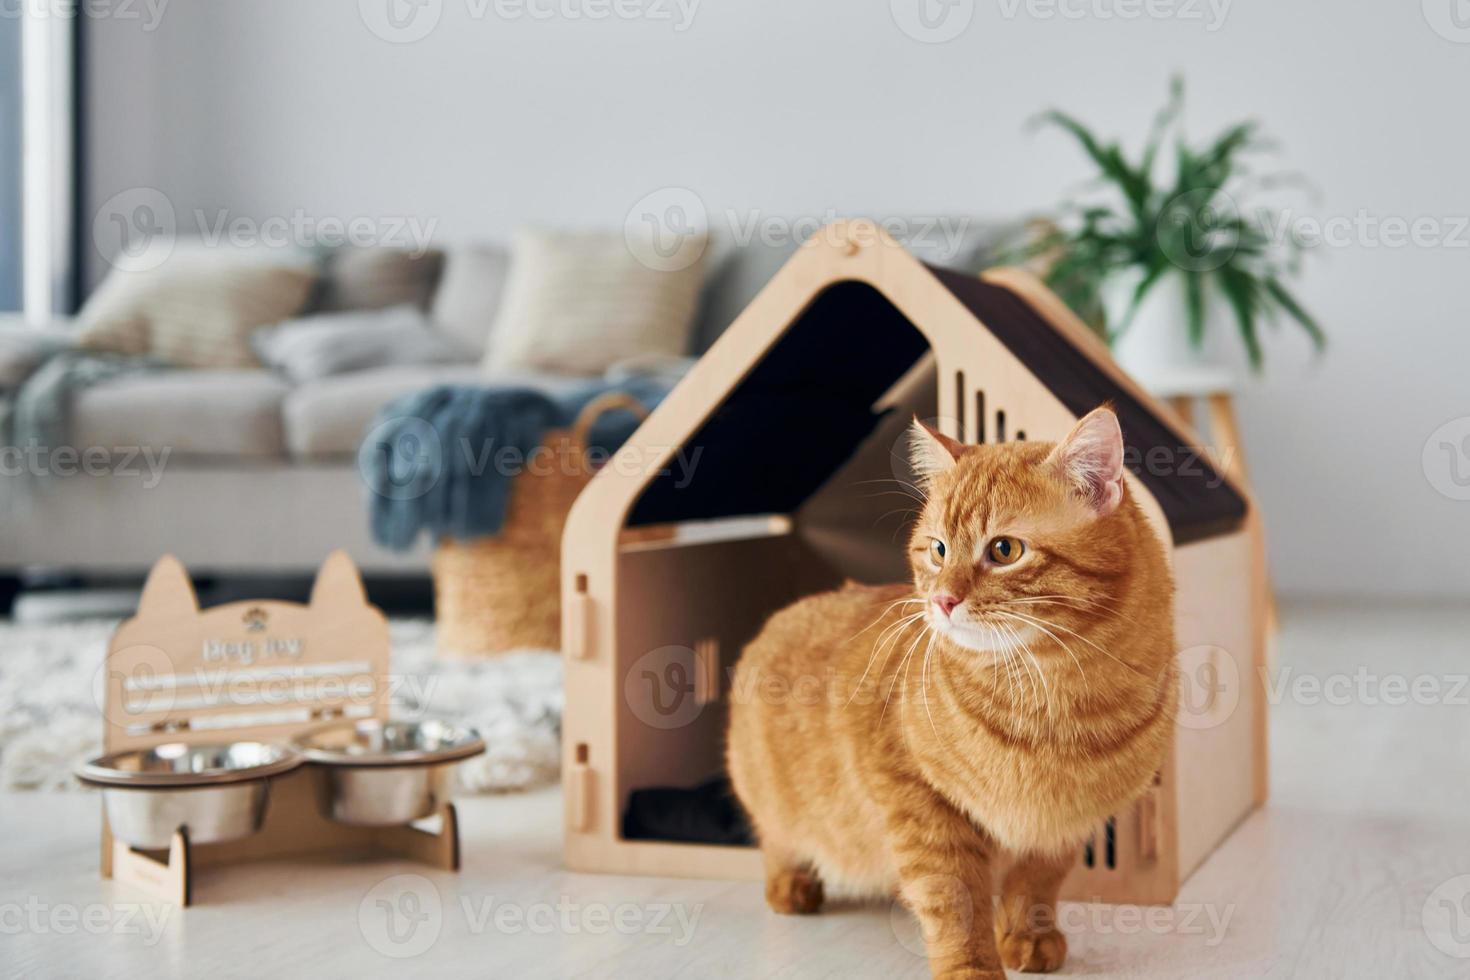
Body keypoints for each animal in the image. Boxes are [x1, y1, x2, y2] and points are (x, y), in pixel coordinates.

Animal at [729, 405, 1176, 980]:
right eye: (938, 550)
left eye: (1004, 550)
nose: (942, 600)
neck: (1053, 698)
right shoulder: (917, 799)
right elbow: (953, 897)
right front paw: (971, 968)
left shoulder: (1065, 824)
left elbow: (1035, 881)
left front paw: (1028, 937)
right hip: (770, 799)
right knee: (777, 839)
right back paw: (792, 885)